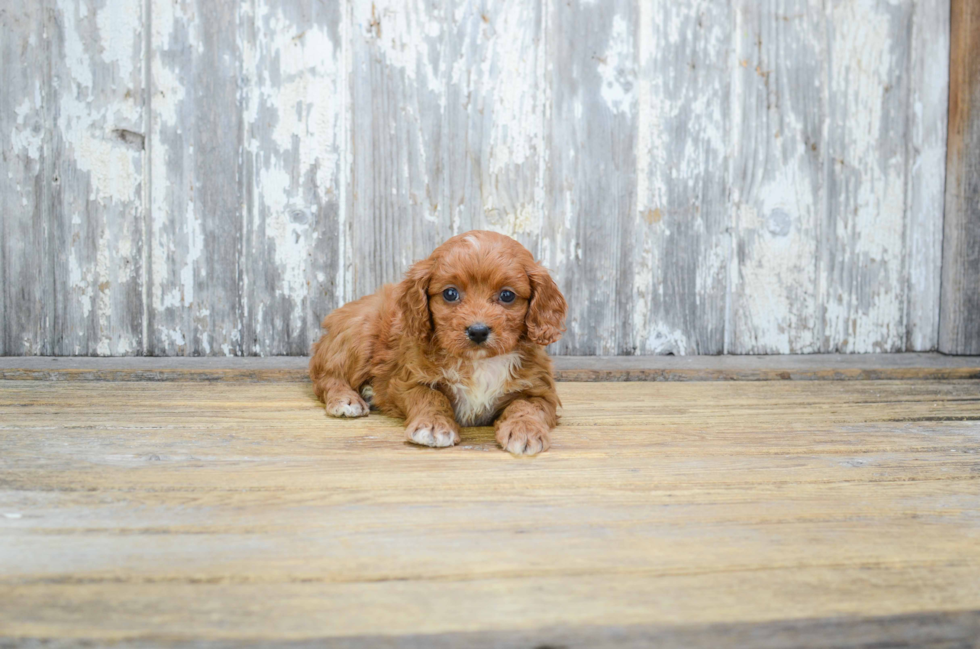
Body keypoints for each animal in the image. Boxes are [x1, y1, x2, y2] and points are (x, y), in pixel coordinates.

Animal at [306, 230, 568, 454]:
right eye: (450, 293)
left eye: (507, 295)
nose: (478, 331)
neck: (478, 362)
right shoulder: (407, 381)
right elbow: (431, 397)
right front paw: (432, 427)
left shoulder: (540, 389)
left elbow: (525, 406)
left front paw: (525, 430)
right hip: (360, 334)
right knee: (325, 376)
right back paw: (346, 399)